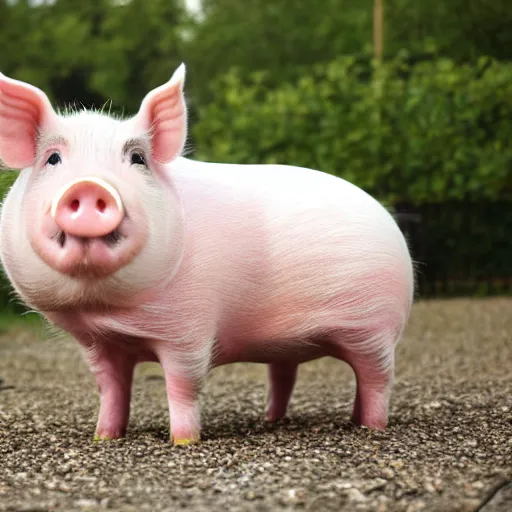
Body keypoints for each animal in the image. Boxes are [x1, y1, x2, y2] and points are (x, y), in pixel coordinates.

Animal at [0, 64, 416, 444]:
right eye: (53, 158)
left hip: (375, 329)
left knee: (378, 378)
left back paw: (369, 427)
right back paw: (275, 421)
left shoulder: (190, 326)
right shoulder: (100, 343)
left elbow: (183, 385)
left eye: (137, 159)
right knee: (285, 375)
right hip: (294, 345)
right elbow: (111, 389)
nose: (88, 186)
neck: (109, 310)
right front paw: (104, 437)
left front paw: (183, 440)